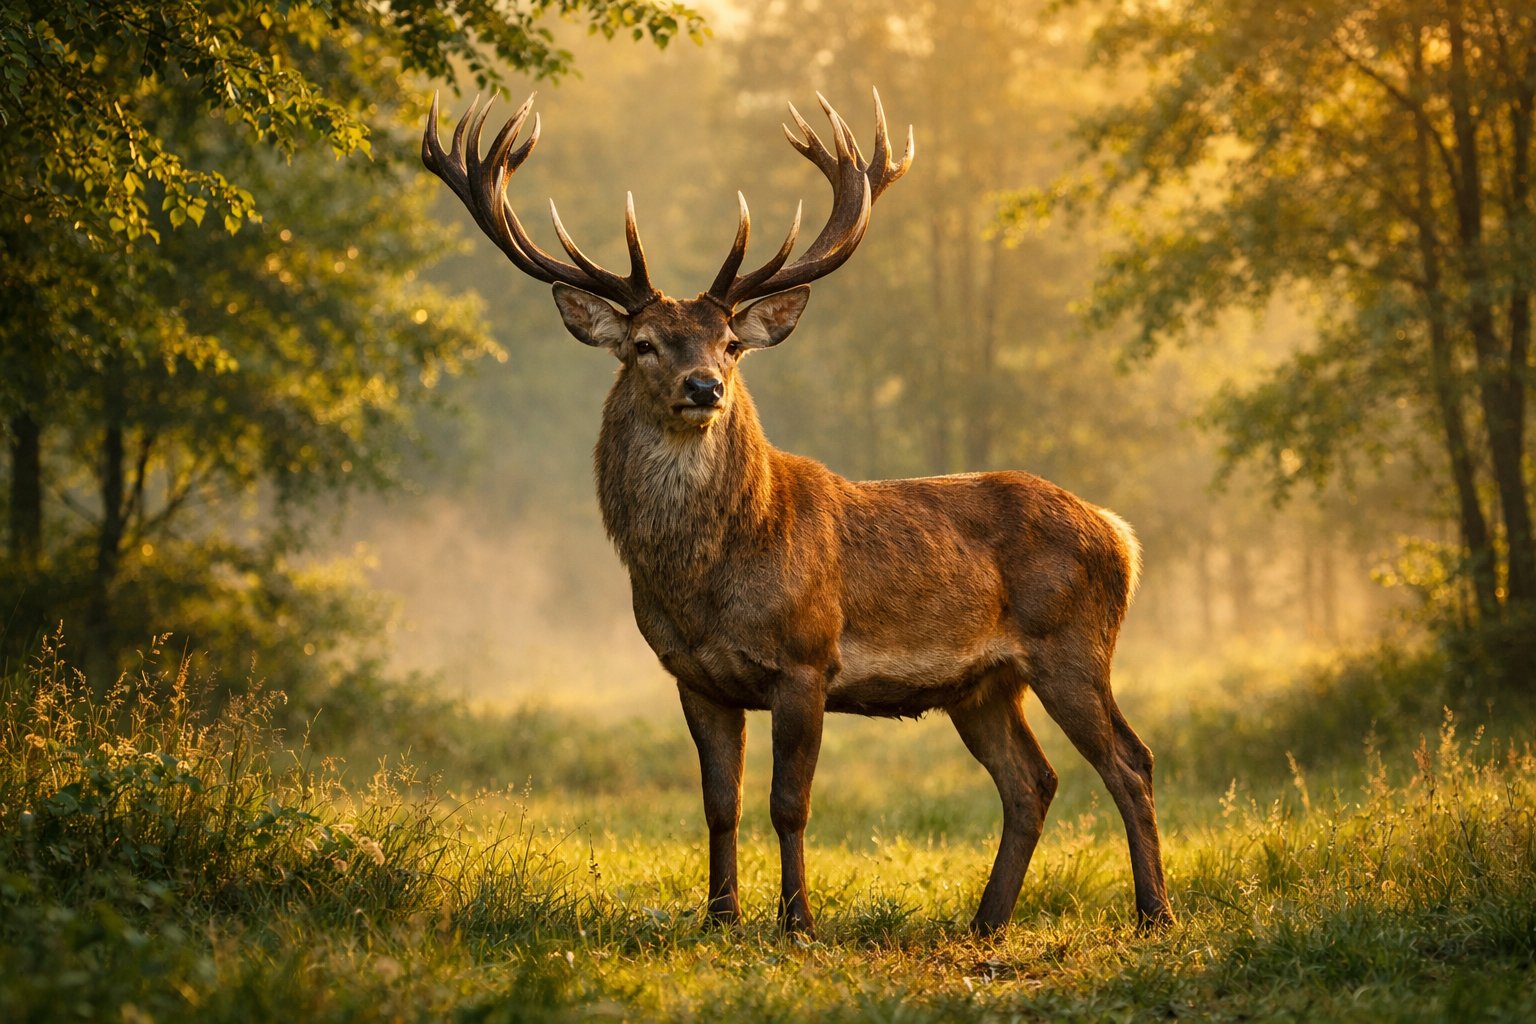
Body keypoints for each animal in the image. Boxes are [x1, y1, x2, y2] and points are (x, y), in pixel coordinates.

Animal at [422, 89, 1174, 938]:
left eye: (729, 343)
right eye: (644, 343)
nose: (704, 388)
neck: (706, 583)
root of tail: (1120, 534)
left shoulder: (807, 659)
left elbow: (790, 803)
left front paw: (798, 923)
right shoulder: (693, 676)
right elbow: (719, 804)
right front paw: (719, 918)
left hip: (1073, 645)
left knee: (1130, 759)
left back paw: (1154, 914)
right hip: (983, 685)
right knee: (1031, 780)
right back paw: (986, 921)